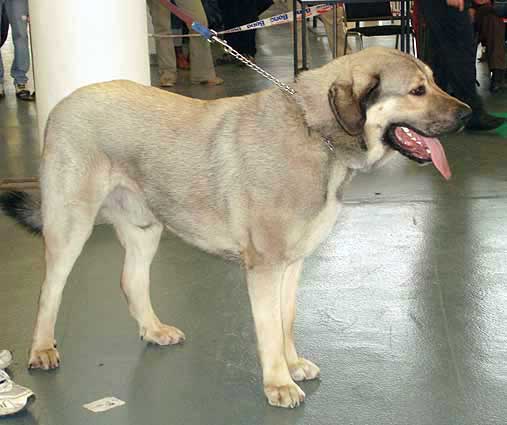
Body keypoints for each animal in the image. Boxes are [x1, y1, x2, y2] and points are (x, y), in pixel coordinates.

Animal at [0, 47, 472, 408]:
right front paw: (279, 382)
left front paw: (292, 364)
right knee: (50, 291)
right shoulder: (264, 267)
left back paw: (154, 330)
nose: (467, 113)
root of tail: (64, 103)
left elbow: (285, 321)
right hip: (70, 225)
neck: (314, 133)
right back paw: (42, 349)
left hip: (145, 225)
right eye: (417, 90)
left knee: (131, 280)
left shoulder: (291, 265)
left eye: (432, 81)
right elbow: (268, 329)